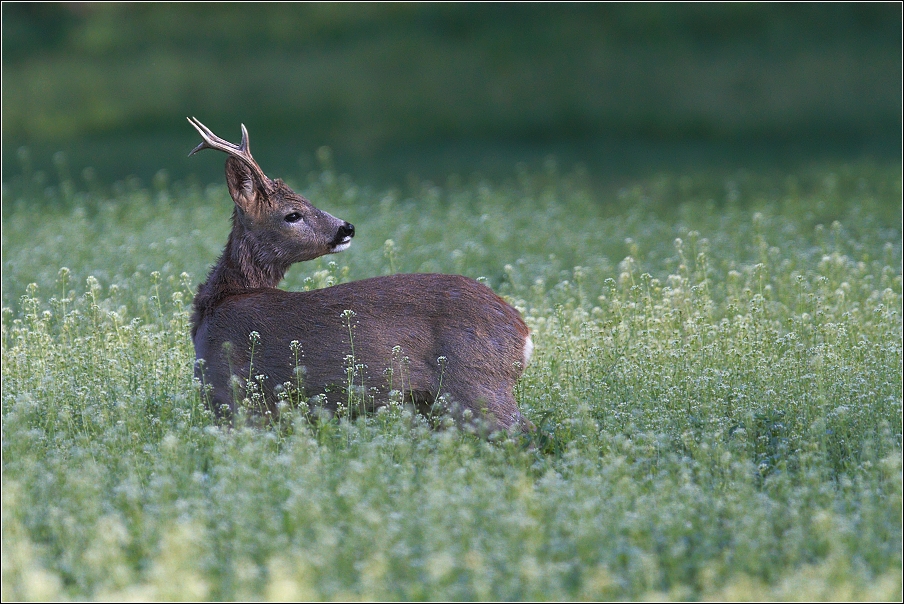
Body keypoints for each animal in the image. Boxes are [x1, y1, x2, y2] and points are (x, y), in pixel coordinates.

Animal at [186, 117, 532, 430]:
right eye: (293, 214)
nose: (346, 228)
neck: (219, 302)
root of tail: (523, 331)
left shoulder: (232, 392)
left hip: (476, 386)